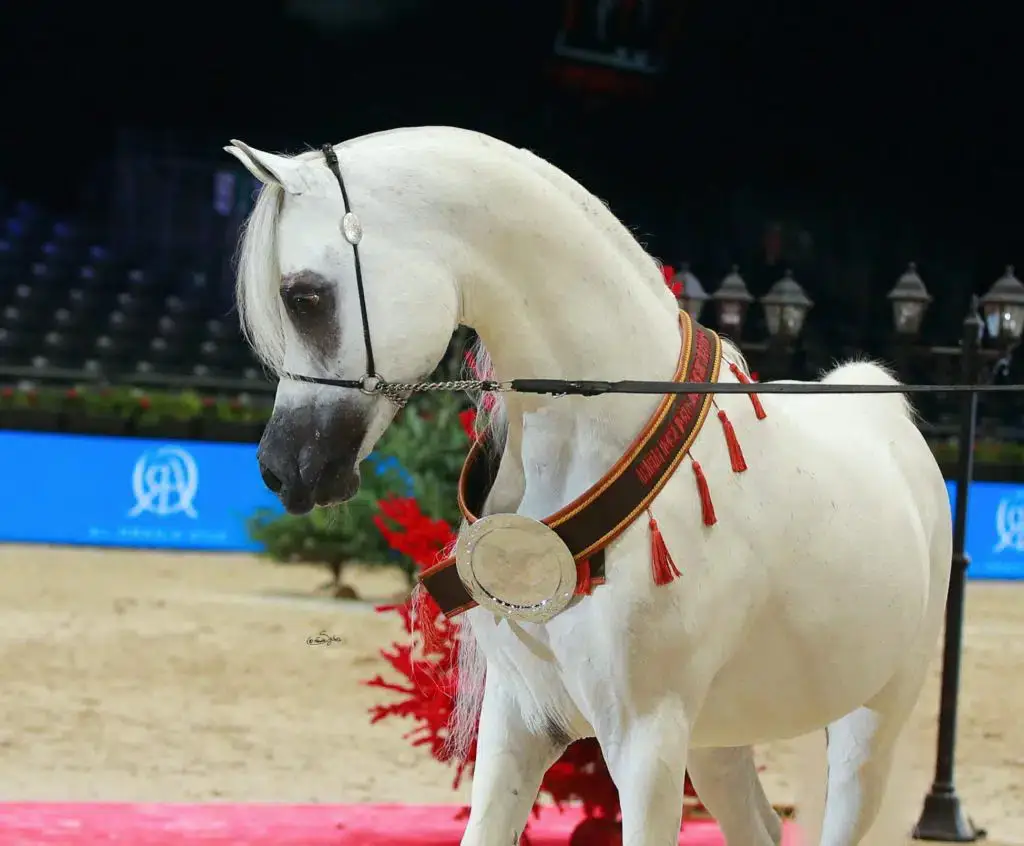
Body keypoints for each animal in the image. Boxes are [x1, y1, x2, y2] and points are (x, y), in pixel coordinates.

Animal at [226, 127, 952, 846]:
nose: (282, 467)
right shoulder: (518, 724)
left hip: (868, 726)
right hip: (717, 742)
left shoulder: (645, 740)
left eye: (304, 296)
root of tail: (886, 415)